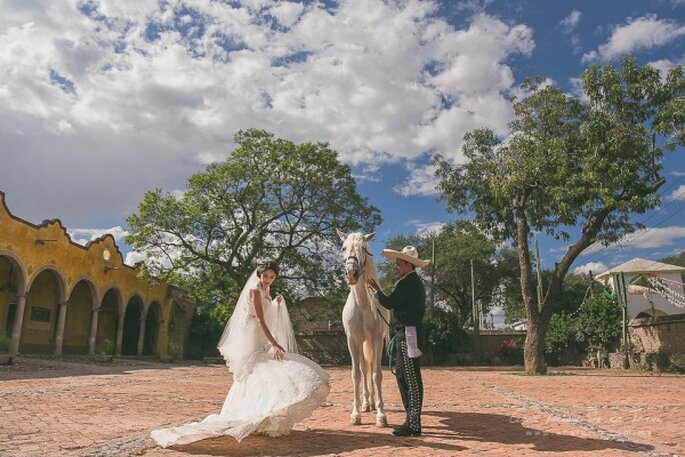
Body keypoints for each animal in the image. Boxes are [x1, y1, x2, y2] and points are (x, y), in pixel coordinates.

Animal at [336, 230, 390, 426]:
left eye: (364, 249)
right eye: (343, 248)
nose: (351, 273)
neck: (363, 305)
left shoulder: (377, 339)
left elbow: (377, 374)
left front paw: (381, 415)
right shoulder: (353, 341)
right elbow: (357, 375)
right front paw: (356, 414)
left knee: (371, 369)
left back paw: (373, 404)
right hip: (361, 344)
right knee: (364, 369)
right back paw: (367, 404)